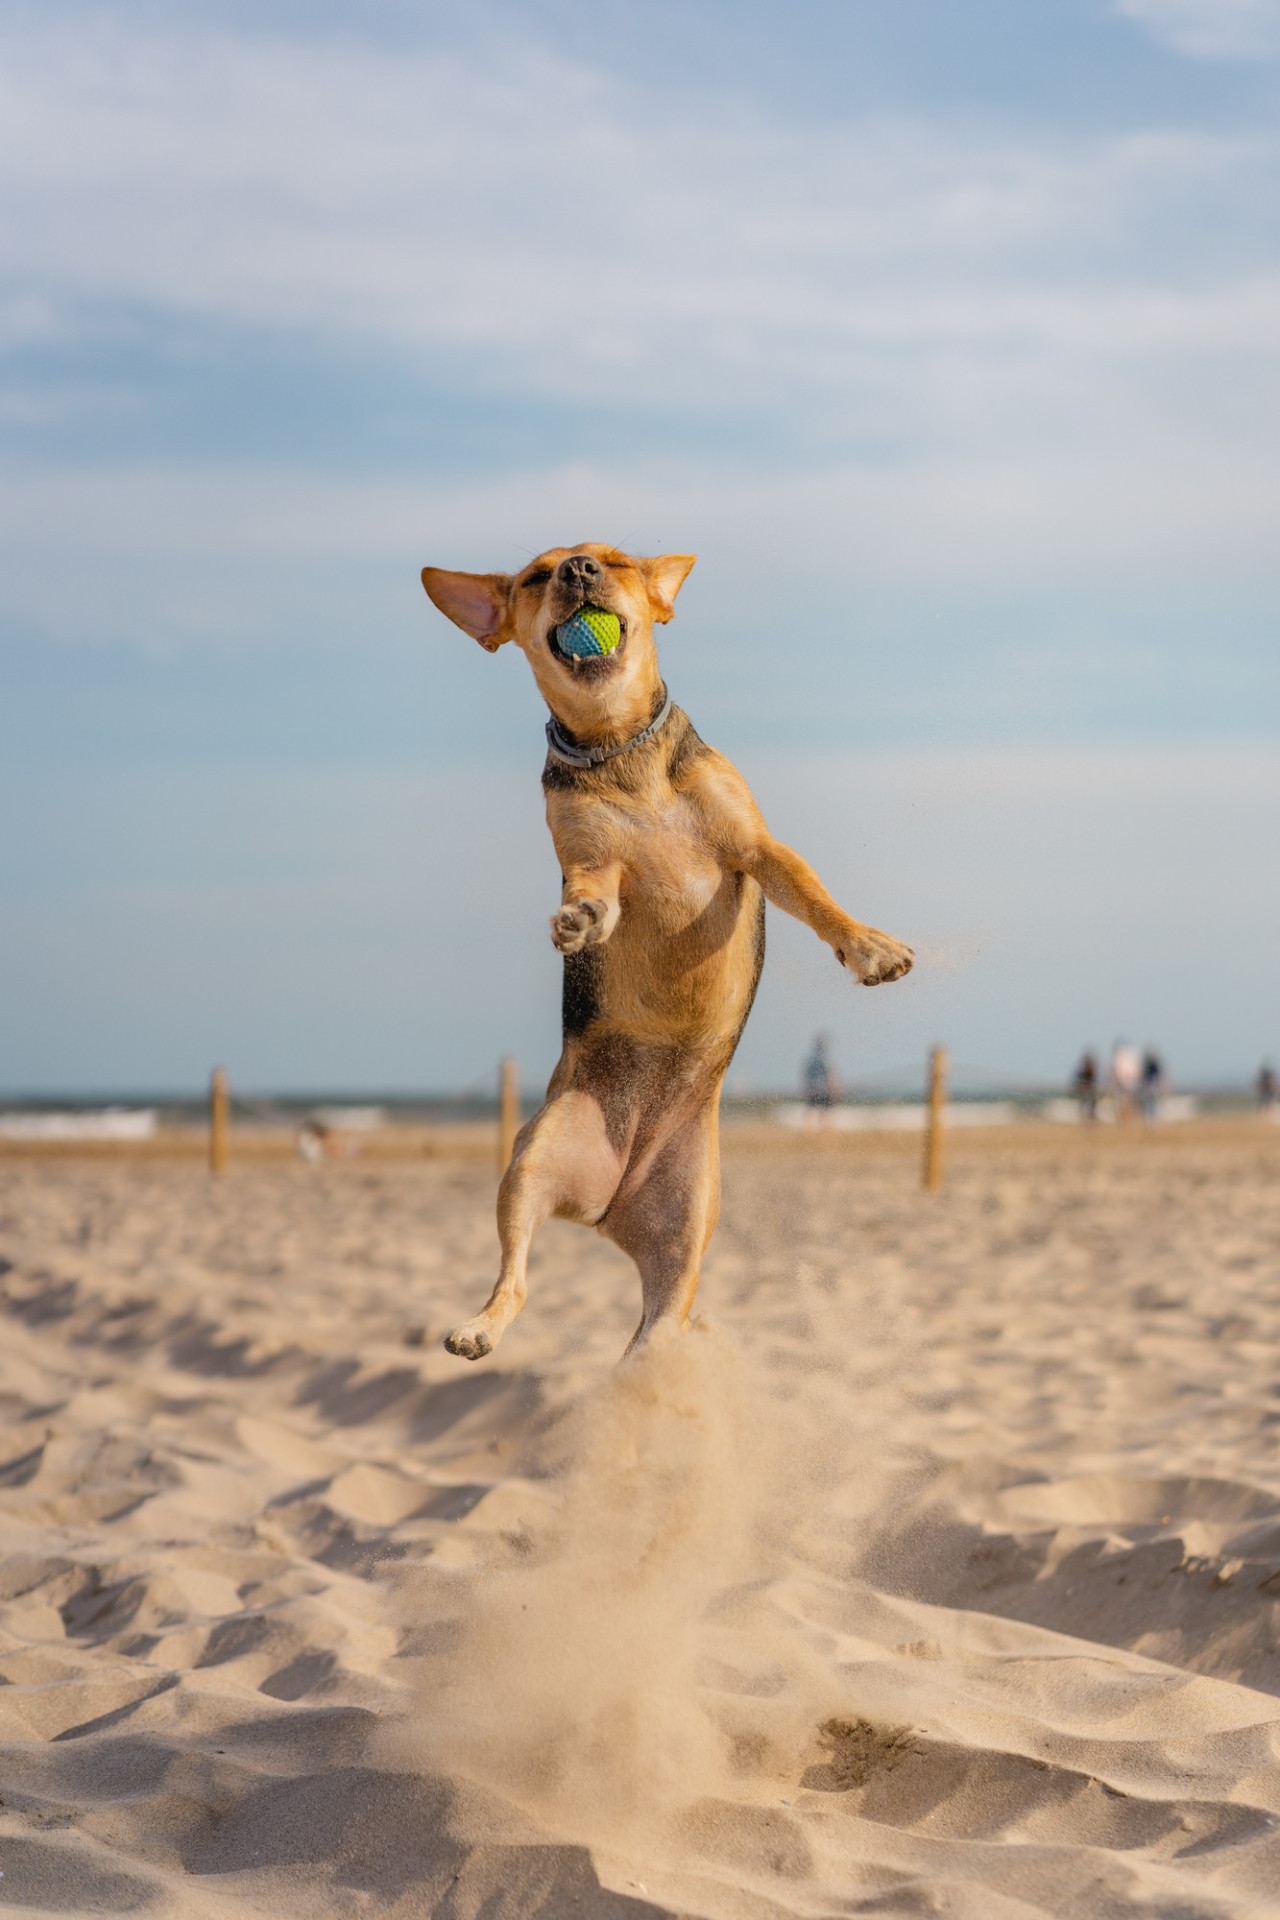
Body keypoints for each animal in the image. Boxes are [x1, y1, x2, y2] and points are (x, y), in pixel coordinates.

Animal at [420, 549, 909, 1359]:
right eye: (536, 576)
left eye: (613, 561)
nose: (578, 570)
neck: (619, 746)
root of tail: (606, 1203)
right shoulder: (594, 862)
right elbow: (599, 894)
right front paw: (580, 922)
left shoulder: (757, 848)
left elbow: (816, 899)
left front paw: (868, 947)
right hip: (531, 1160)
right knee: (516, 1278)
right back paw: (479, 1328)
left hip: (688, 1222)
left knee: (656, 1326)